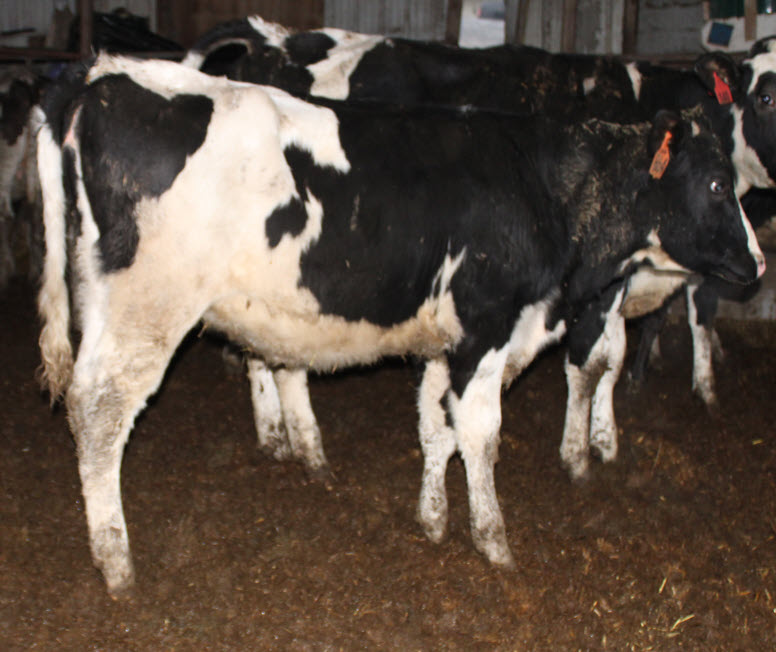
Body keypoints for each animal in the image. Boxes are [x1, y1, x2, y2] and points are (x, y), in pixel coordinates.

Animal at [36, 55, 763, 596]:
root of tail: (101, 78)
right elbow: (481, 434)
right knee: (99, 411)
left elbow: (436, 426)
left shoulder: (446, 342)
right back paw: (116, 561)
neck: (545, 185)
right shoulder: (488, 328)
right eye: (717, 185)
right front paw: (493, 539)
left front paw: (433, 519)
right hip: (146, 310)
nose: (757, 262)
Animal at [183, 17, 776, 476]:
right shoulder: (599, 279)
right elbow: (596, 360)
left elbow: (664, 330)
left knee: (261, 349)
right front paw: (582, 454)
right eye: (767, 95)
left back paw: (276, 436)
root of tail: (276, 38)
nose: (758, 261)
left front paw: (659, 411)